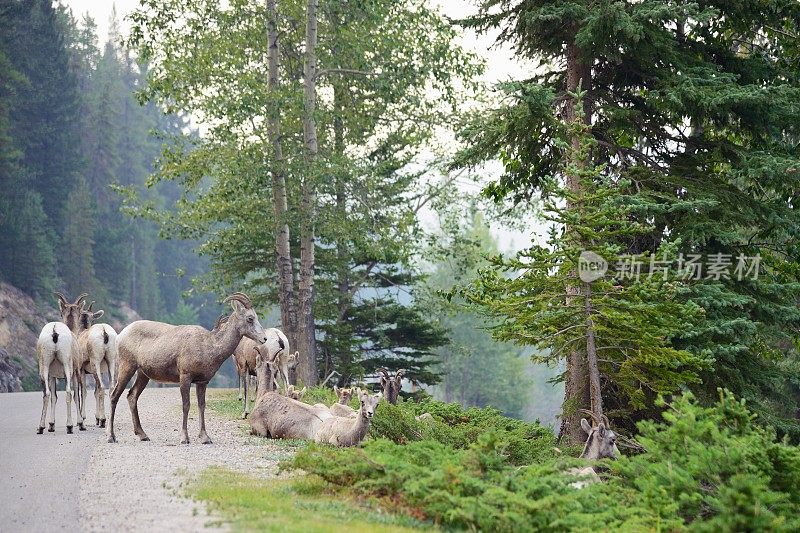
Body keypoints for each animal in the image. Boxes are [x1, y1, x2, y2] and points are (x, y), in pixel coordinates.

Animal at [35, 290, 86, 432]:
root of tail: (54, 331)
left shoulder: (52, 376)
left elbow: (54, 396)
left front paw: (51, 425)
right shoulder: (76, 372)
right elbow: (76, 396)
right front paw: (81, 424)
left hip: (44, 367)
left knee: (46, 394)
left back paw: (41, 427)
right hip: (67, 366)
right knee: (68, 392)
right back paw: (69, 426)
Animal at [108, 294, 268, 442]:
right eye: (250, 318)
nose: (264, 338)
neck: (209, 346)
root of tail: (120, 335)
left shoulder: (202, 382)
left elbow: (201, 406)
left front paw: (205, 438)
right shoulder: (185, 377)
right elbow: (186, 405)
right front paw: (184, 438)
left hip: (143, 375)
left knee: (132, 396)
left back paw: (143, 435)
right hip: (126, 367)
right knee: (114, 396)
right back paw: (111, 437)